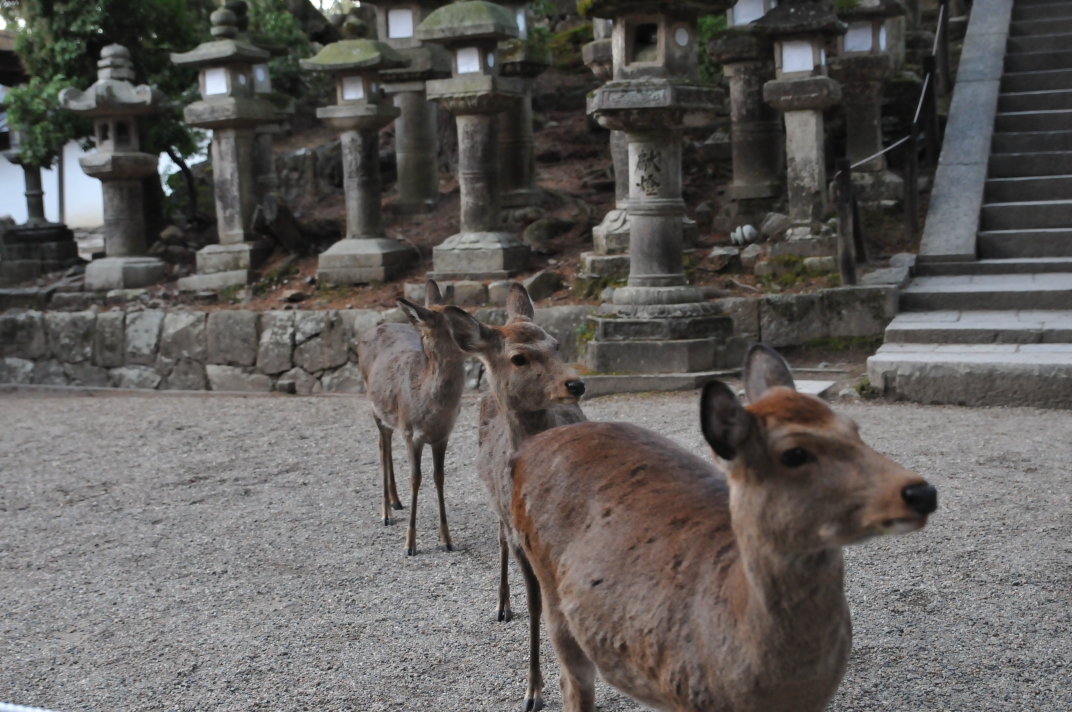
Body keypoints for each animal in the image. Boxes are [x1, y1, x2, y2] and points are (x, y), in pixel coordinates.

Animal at [358, 278, 467, 557]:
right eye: (458, 320)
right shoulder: (411, 433)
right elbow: (416, 479)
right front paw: (410, 544)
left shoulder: (443, 435)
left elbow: (440, 478)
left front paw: (446, 539)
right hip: (374, 407)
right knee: (382, 445)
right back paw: (386, 513)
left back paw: (396, 501)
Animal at [439, 283, 587, 711]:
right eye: (519, 357)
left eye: (556, 344)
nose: (576, 384)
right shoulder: (525, 538)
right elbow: (537, 604)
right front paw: (533, 691)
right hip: (499, 510)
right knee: (501, 539)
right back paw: (502, 605)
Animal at [505, 345, 934, 711]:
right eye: (794, 453)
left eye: (854, 428)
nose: (921, 492)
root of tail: (525, 450)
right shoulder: (683, 693)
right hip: (550, 588)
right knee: (572, 678)